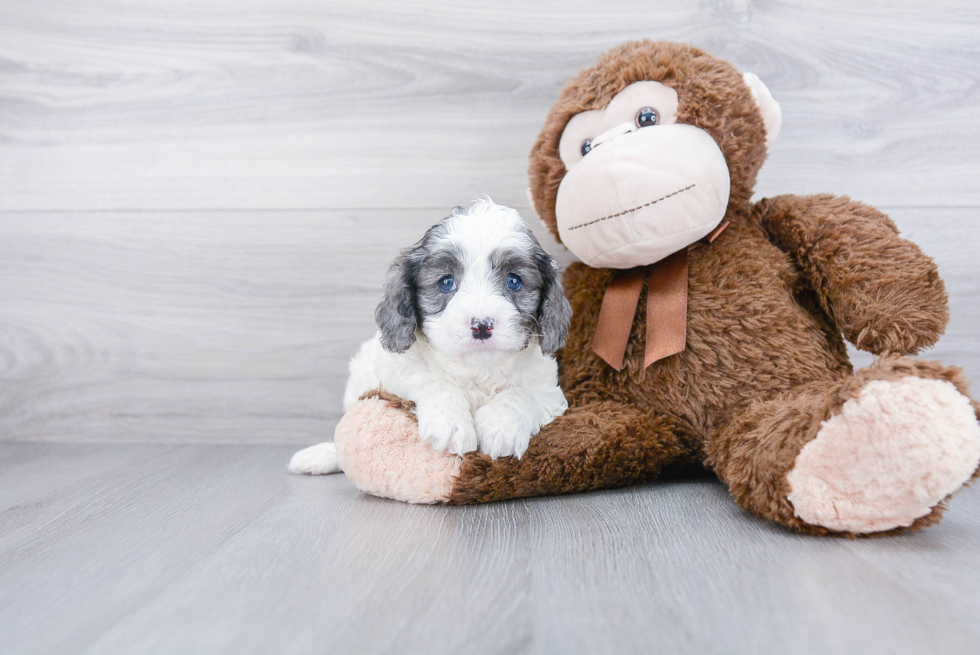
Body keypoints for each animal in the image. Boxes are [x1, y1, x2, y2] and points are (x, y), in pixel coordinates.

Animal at [288, 200, 572, 476]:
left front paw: (502, 426)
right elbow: (434, 382)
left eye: (514, 281)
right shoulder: (396, 378)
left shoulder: (549, 393)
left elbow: (521, 393)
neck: (478, 369)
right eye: (445, 282)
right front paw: (450, 423)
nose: (482, 326)